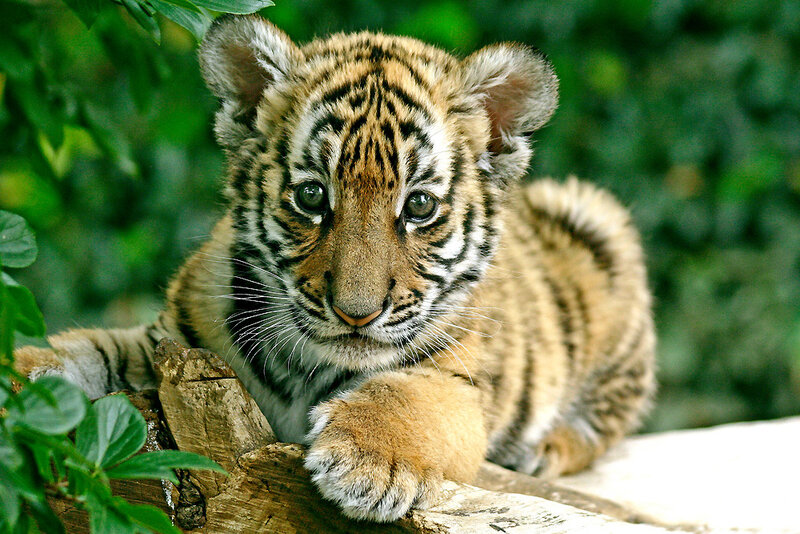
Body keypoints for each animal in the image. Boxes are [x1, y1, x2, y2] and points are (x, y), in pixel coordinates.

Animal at [15, 14, 656, 522]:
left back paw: (544, 450)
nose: (356, 313)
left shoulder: (458, 383)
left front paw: (368, 460)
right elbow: (91, 350)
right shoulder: (171, 341)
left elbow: (410, 398)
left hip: (600, 226)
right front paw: (23, 378)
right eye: (312, 196)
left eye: (419, 206)